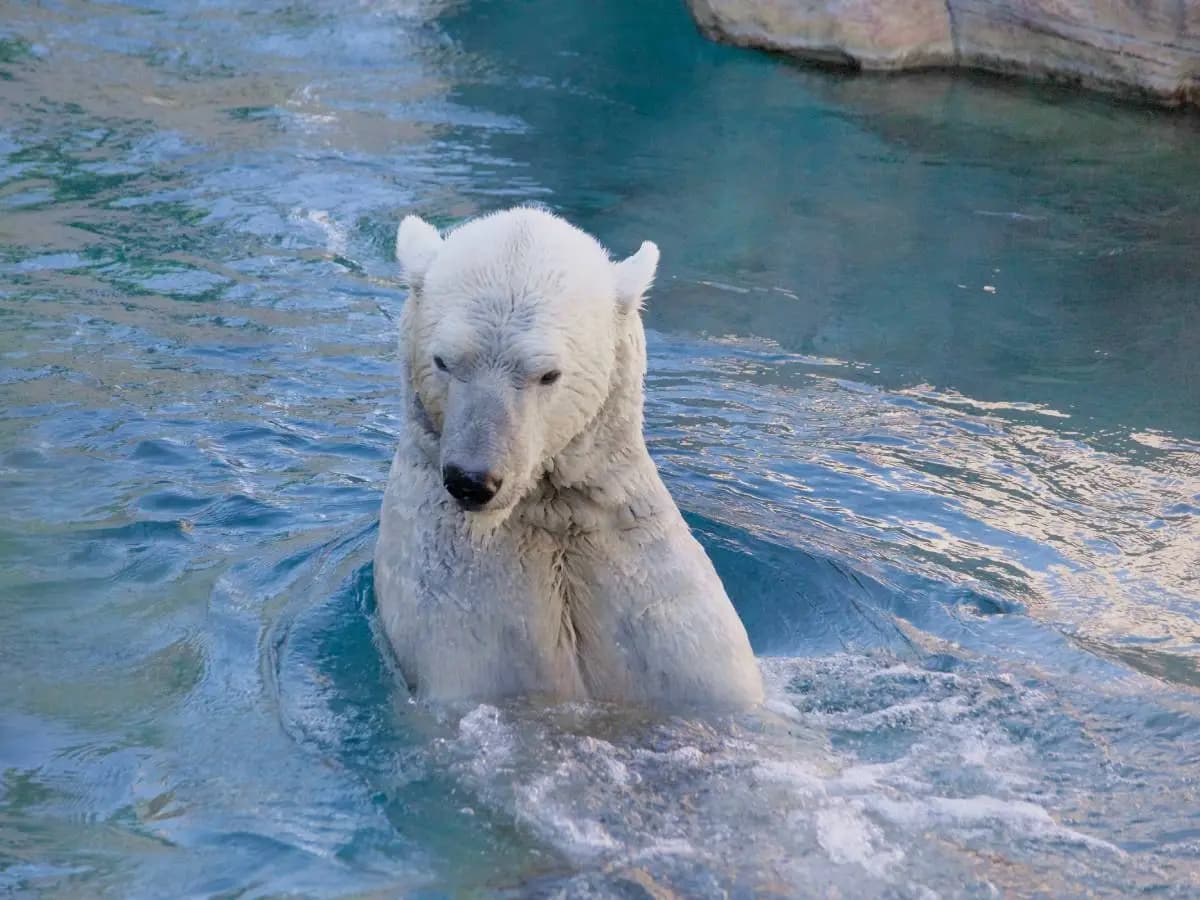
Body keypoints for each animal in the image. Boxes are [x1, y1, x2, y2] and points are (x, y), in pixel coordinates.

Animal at [373, 207, 763, 710]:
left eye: (548, 374)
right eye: (443, 361)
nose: (473, 480)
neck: (548, 513)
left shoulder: (664, 610)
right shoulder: (459, 605)